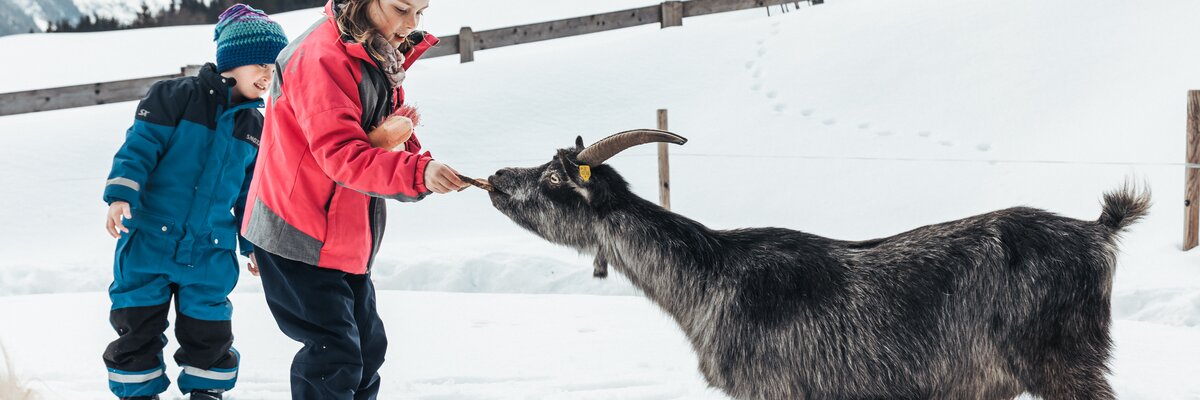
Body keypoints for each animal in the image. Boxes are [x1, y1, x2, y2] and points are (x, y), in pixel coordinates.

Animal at [485, 130, 1149, 400]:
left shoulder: (775, 387)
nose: (494, 177)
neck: (711, 277)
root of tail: (1098, 233)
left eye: (553, 179)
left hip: (1064, 361)